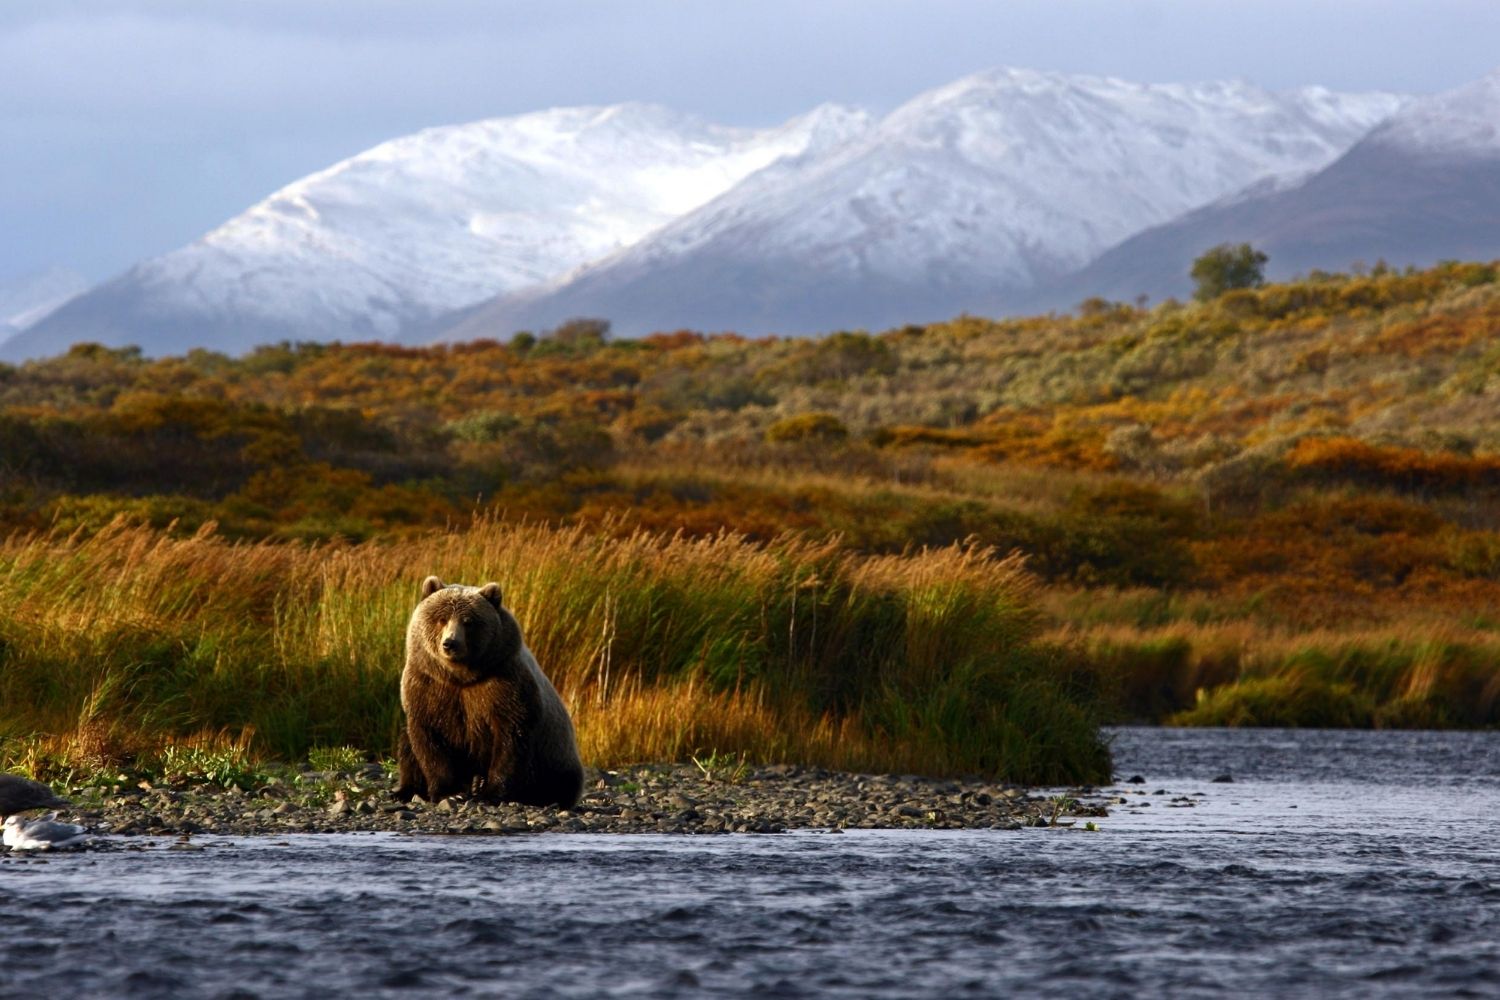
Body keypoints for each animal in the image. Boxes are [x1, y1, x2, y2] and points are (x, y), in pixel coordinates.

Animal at [395, 576, 583, 808]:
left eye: (468, 621)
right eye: (442, 618)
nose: (450, 643)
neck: (461, 676)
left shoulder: (503, 683)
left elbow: (510, 738)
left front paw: (491, 793)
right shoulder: (428, 685)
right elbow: (429, 741)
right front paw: (450, 792)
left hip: (555, 756)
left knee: (558, 781)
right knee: (406, 745)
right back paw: (406, 791)